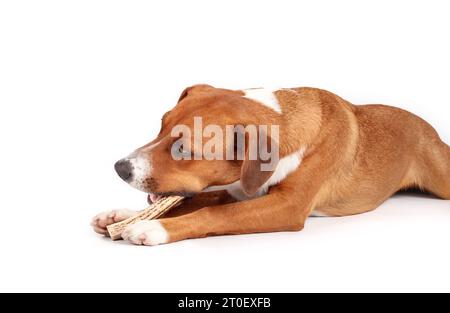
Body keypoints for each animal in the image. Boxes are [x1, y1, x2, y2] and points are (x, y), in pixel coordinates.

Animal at [91, 84, 450, 244]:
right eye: (161, 125)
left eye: (183, 148)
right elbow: (193, 202)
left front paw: (153, 227)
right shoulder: (241, 189)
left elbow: (214, 214)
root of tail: (428, 126)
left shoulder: (288, 206)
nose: (120, 167)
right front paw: (121, 215)